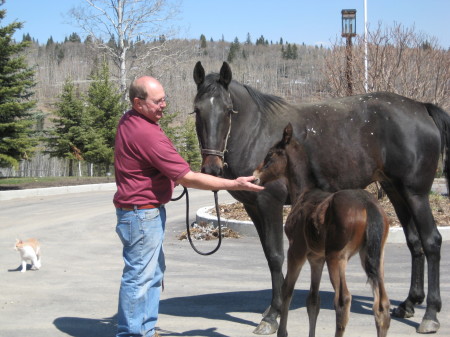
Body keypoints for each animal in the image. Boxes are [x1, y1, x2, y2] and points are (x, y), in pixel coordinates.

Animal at [192, 61, 448, 334]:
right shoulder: (253, 207)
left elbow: (276, 256)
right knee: (414, 242)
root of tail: (422, 107)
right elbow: (269, 256)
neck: (256, 131)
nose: (212, 169)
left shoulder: (269, 204)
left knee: (431, 241)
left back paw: (430, 314)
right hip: (395, 191)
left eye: (228, 111)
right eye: (197, 110)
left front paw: (272, 315)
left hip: (416, 194)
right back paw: (409, 303)